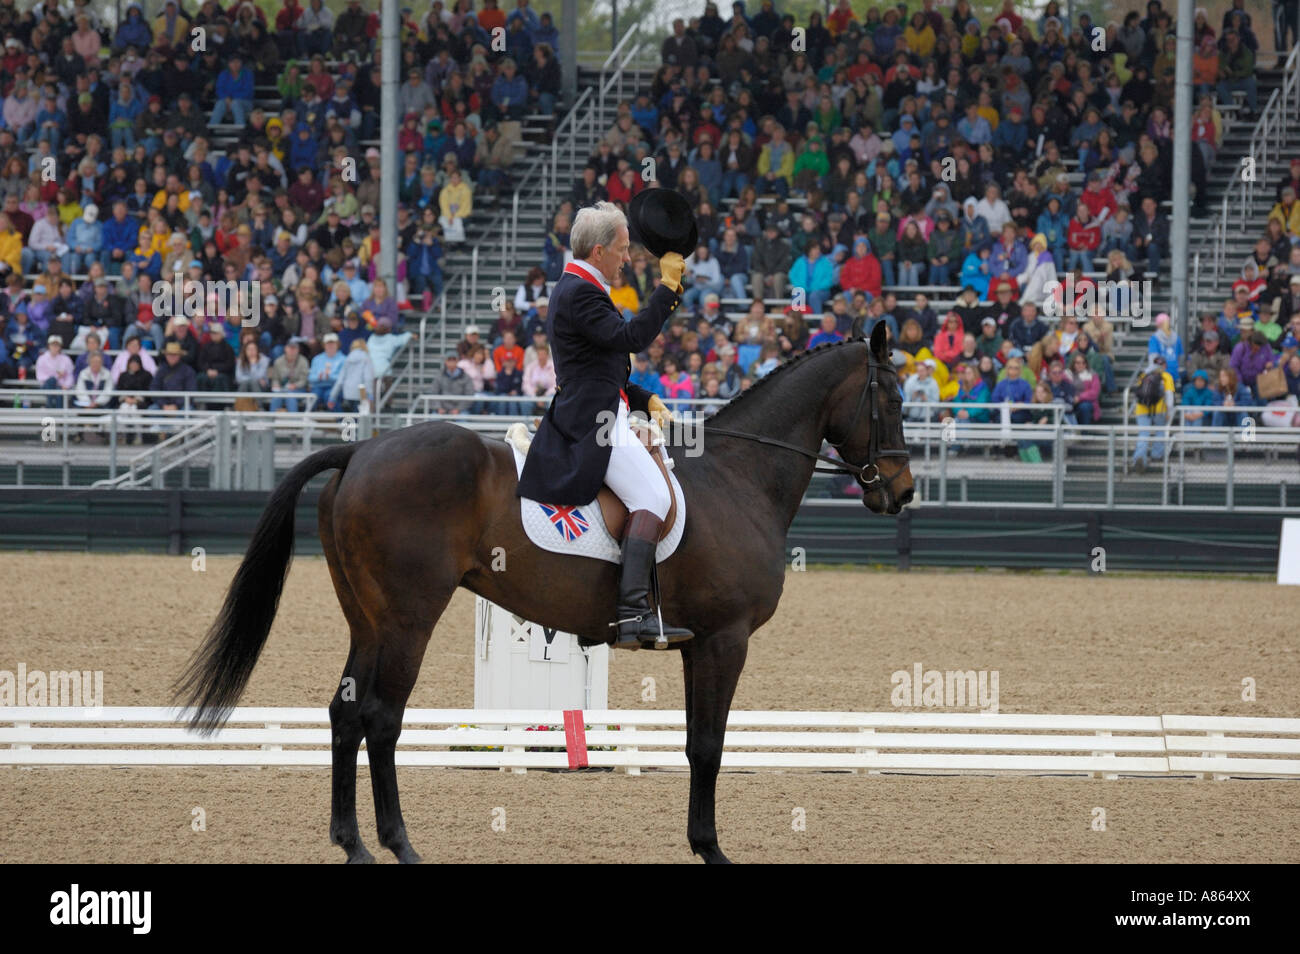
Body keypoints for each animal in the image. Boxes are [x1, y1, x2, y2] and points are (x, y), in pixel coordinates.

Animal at [178, 323, 915, 868]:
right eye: (893, 400)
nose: (902, 492)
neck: (739, 477)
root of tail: (359, 452)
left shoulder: (696, 645)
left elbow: (693, 744)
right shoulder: (724, 639)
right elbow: (708, 746)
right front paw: (712, 852)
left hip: (369, 621)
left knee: (345, 713)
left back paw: (354, 846)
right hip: (409, 619)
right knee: (381, 719)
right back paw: (401, 846)